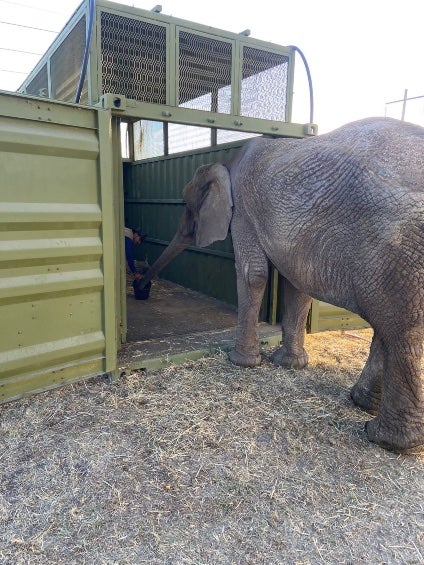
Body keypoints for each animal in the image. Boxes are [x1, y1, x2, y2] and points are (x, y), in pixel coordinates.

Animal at [139, 118, 424, 454]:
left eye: (187, 205)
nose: (140, 287)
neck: (227, 163)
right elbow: (296, 283)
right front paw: (289, 365)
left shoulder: (244, 210)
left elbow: (253, 273)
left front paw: (241, 362)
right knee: (389, 326)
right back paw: (363, 406)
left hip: (400, 249)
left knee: (400, 329)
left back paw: (386, 440)